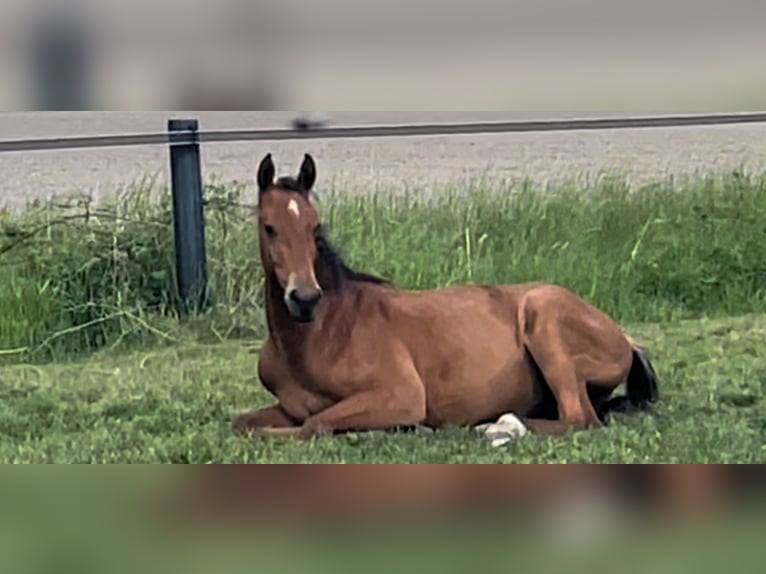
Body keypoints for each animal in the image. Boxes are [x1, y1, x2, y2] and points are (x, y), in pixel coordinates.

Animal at [234, 155, 660, 444]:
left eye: (315, 227)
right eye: (269, 228)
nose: (305, 298)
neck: (319, 338)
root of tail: (625, 340)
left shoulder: (401, 395)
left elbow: (313, 424)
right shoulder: (287, 406)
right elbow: (243, 422)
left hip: (546, 319)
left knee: (579, 419)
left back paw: (499, 425)